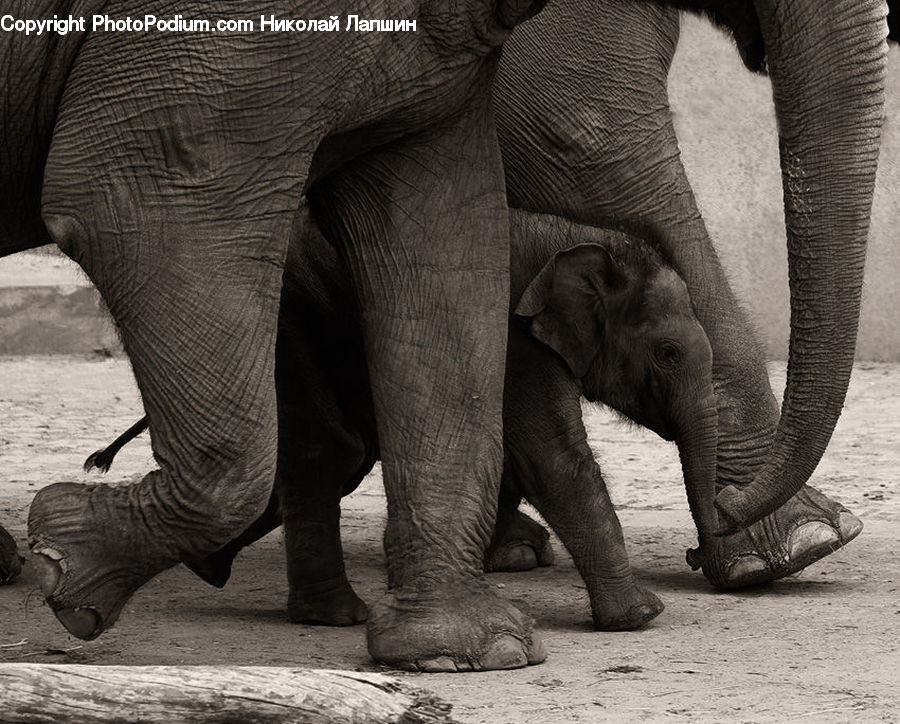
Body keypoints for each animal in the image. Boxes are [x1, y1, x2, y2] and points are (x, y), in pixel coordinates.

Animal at [89, 206, 718, 632]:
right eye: (667, 354)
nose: (695, 556)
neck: (573, 237)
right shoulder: (515, 341)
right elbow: (551, 458)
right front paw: (641, 616)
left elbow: (504, 453)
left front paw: (490, 566)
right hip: (288, 316)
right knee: (330, 449)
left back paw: (207, 565)